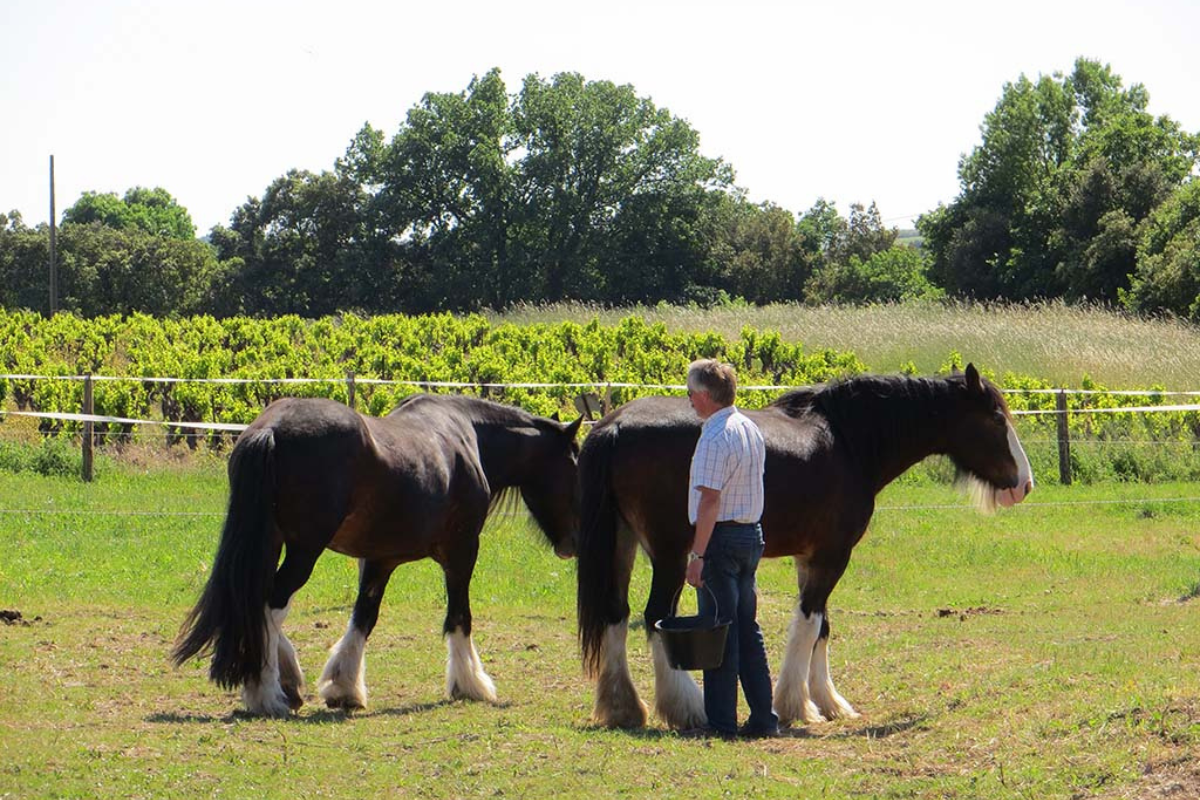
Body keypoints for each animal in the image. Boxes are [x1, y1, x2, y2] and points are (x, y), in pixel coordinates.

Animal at [173, 393, 582, 717]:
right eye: (576, 464)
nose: (573, 544)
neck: (468, 438)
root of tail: (270, 429)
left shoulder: (379, 559)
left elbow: (364, 617)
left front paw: (344, 687)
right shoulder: (462, 550)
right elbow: (460, 616)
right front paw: (471, 683)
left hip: (270, 543)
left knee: (254, 602)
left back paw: (285, 680)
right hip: (304, 550)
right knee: (270, 604)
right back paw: (268, 693)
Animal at [576, 364, 1034, 730]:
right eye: (996, 419)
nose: (1024, 485)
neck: (848, 441)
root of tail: (614, 425)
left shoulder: (810, 558)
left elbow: (822, 628)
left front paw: (830, 701)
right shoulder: (833, 556)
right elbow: (809, 622)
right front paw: (799, 705)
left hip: (621, 546)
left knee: (616, 616)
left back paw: (623, 708)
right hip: (670, 557)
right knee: (656, 618)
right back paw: (687, 708)